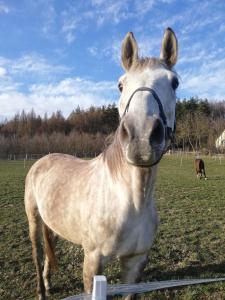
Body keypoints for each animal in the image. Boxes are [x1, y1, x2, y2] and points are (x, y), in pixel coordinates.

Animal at [24, 28, 178, 300]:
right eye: (120, 84)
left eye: (174, 82)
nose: (141, 137)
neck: (132, 201)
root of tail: (42, 160)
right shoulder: (93, 262)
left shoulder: (135, 263)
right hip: (34, 221)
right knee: (37, 254)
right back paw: (42, 291)